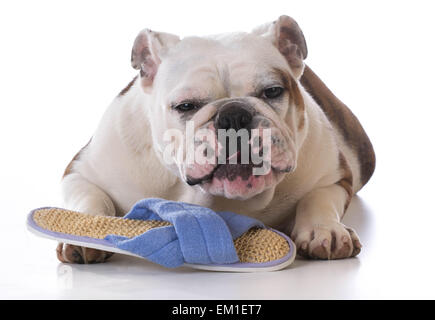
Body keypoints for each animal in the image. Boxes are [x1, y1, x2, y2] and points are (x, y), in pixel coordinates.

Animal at [57, 15, 374, 264]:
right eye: (185, 106)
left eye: (272, 91)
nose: (233, 115)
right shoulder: (82, 172)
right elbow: (91, 200)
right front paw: (83, 233)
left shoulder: (334, 175)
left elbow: (318, 198)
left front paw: (324, 230)